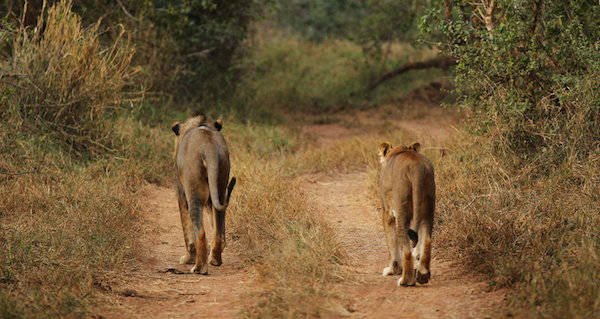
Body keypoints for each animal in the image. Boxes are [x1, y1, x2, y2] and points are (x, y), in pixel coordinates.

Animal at [170, 115, 236, 276]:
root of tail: (208, 147)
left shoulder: (181, 193)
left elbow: (187, 231)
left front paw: (188, 258)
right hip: (220, 187)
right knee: (219, 231)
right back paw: (215, 260)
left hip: (193, 192)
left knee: (200, 232)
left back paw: (199, 267)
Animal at [378, 142, 434, 288]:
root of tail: (416, 167)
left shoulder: (387, 213)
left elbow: (392, 243)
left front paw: (392, 270)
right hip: (428, 208)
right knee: (427, 239)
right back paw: (423, 275)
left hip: (401, 211)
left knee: (407, 249)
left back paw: (406, 280)